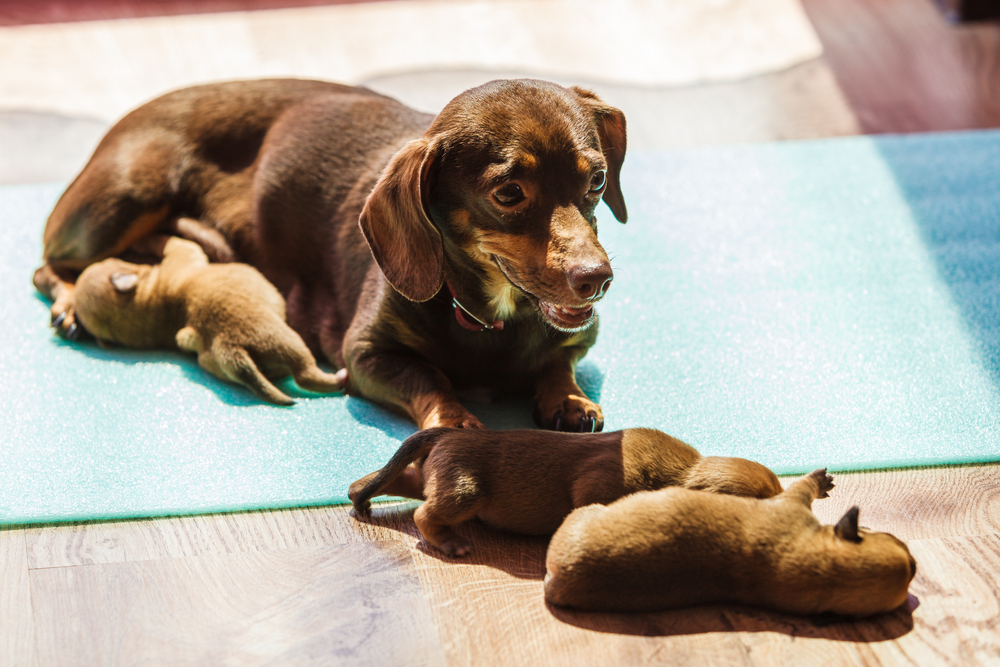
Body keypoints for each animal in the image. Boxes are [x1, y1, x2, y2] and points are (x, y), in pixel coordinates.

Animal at [70, 235, 344, 404]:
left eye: (109, 260)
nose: (116, 254)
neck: (153, 301)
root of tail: (230, 346)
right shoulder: (185, 250)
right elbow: (171, 241)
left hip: (214, 361)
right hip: (287, 341)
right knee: (305, 373)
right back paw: (339, 378)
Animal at [350, 428, 780, 560]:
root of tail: (446, 433)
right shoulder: (599, 483)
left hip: (431, 477)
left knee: (389, 478)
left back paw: (360, 497)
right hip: (464, 490)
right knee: (423, 516)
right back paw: (451, 543)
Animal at [544, 468, 916, 620]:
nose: (914, 561)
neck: (824, 570)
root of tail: (556, 582)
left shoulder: (790, 503)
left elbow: (802, 486)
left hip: (585, 513)